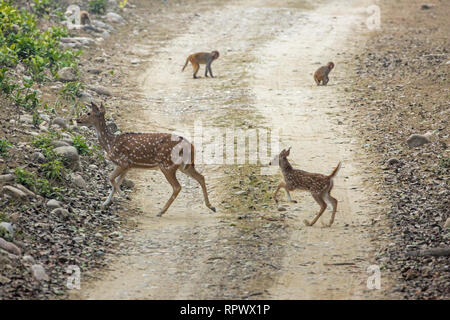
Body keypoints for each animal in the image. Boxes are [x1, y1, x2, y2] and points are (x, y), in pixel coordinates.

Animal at [76, 102, 216, 216]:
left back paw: (161, 211)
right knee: (201, 177)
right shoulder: (128, 166)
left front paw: (125, 197)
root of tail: (189, 145)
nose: (77, 119)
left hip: (167, 165)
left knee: (177, 187)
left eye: (88, 112)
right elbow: (116, 182)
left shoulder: (123, 162)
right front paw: (105, 204)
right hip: (184, 165)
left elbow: (110, 178)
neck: (110, 143)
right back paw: (211, 206)